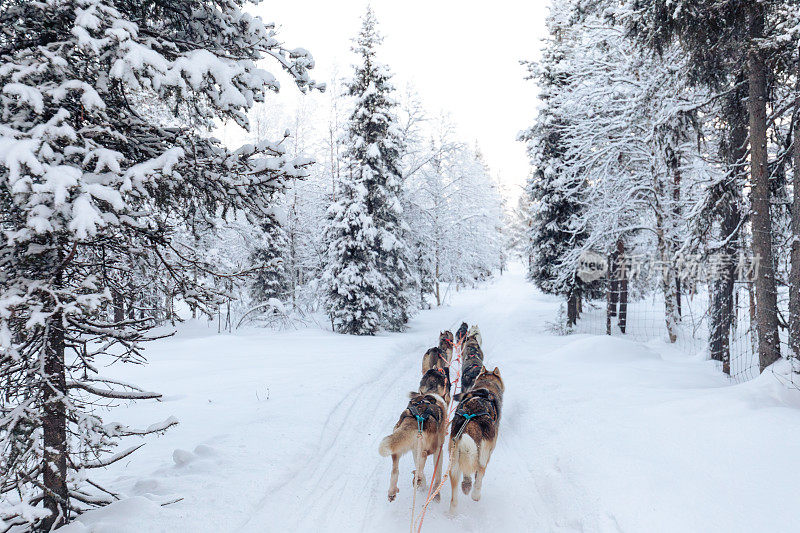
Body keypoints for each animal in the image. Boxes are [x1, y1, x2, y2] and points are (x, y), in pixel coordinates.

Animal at [446, 366, 504, 512]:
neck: (486, 386)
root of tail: (470, 423)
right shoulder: (488, 454)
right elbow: (478, 475)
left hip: (454, 463)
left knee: (454, 499)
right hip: (482, 457)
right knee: (479, 477)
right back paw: (475, 495)